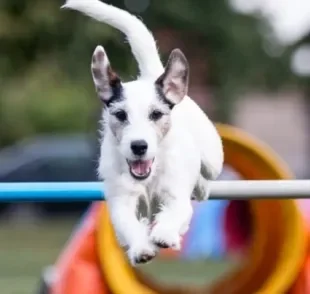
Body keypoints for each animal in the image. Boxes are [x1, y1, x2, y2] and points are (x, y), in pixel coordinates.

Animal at [61, 0, 224, 266]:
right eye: (120, 115)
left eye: (156, 114)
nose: (139, 146)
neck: (149, 176)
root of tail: (150, 75)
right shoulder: (122, 200)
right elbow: (128, 224)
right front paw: (141, 248)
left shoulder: (176, 194)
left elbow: (176, 211)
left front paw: (165, 234)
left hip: (213, 158)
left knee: (206, 173)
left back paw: (201, 187)